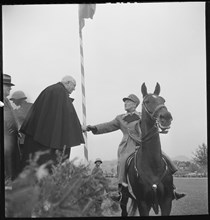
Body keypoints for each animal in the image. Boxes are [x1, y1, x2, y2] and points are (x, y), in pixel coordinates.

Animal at [120, 81, 175, 216]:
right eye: (147, 101)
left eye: (163, 100)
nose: (166, 117)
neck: (153, 166)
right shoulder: (143, 203)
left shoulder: (166, 202)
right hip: (125, 198)